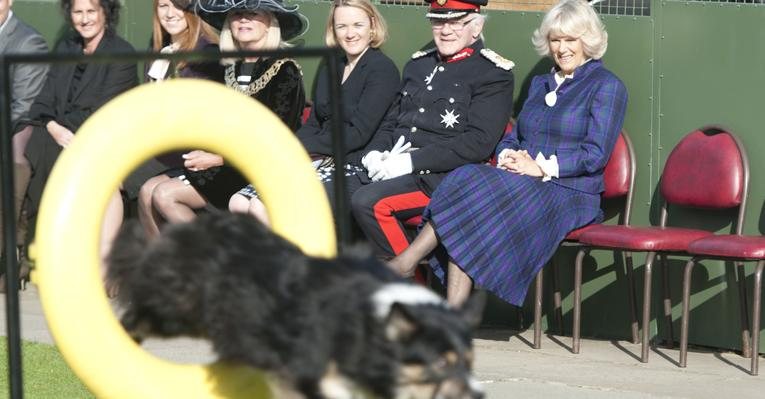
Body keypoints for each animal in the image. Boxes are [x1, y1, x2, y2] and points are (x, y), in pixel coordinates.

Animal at [107, 214, 484, 398]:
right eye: (440, 362)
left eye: (469, 362)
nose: (478, 395)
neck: (368, 319)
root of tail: (197, 222)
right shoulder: (309, 367)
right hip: (177, 309)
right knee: (139, 312)